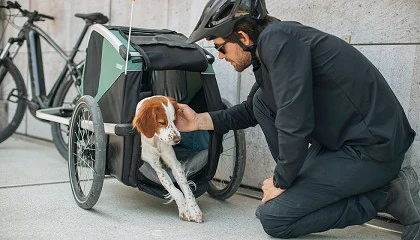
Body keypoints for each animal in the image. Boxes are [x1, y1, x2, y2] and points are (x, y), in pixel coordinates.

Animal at [131, 95, 203, 223]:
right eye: (162, 122)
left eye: (174, 120)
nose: (178, 140)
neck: (155, 140)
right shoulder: (157, 167)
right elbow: (175, 190)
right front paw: (184, 210)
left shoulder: (174, 163)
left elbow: (187, 189)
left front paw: (195, 210)